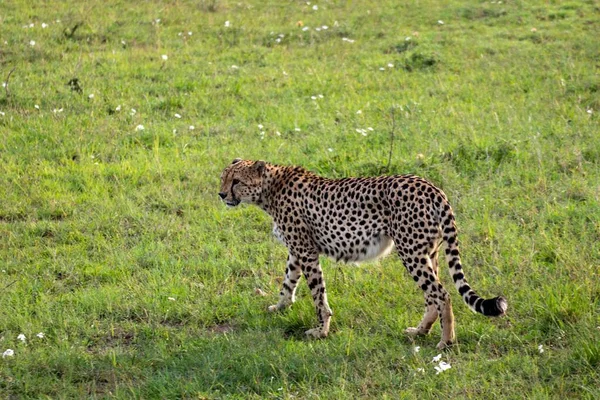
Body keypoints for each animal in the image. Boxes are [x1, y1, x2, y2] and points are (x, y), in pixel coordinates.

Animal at [220, 159, 506, 346]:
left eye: (237, 181)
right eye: (223, 177)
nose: (222, 194)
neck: (271, 188)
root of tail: (430, 186)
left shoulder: (306, 250)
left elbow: (317, 294)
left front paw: (321, 330)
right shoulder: (297, 250)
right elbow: (288, 281)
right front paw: (280, 306)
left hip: (410, 252)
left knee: (441, 294)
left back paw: (445, 342)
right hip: (428, 252)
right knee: (432, 296)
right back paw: (419, 331)